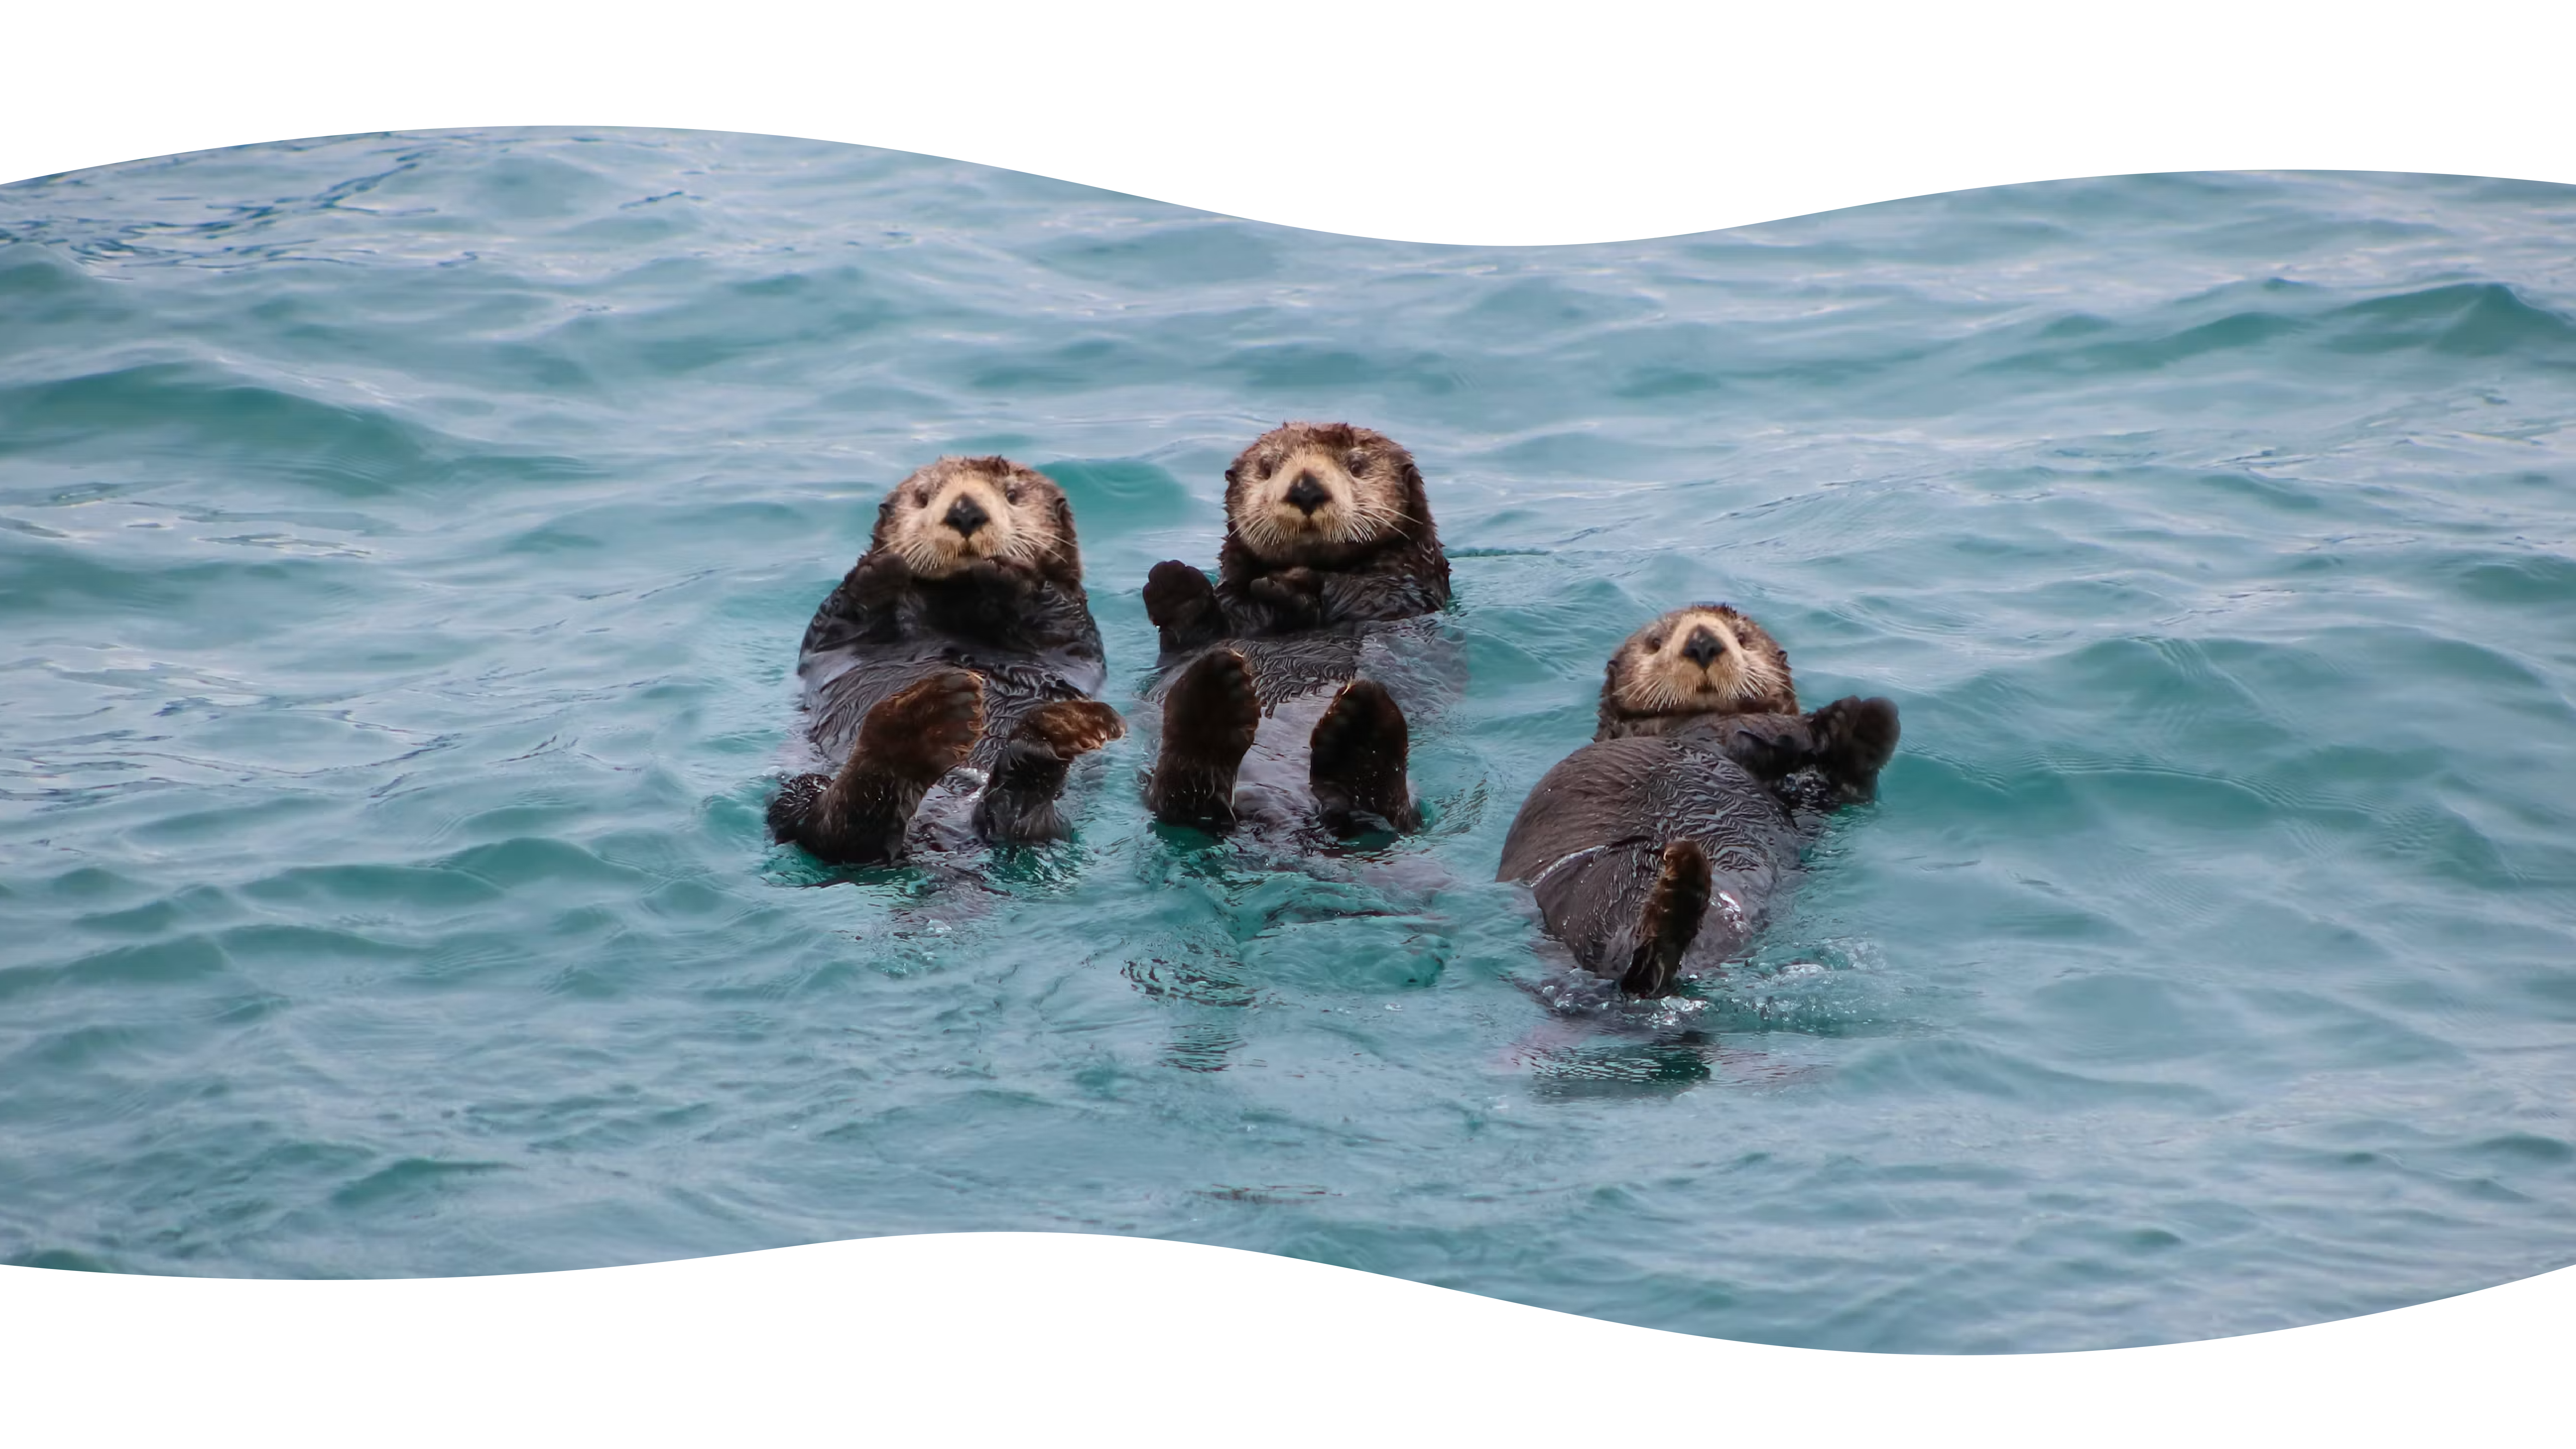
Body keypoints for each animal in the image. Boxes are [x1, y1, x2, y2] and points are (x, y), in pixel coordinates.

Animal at [769, 456, 1124, 865]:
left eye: (1012, 494)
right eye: (923, 497)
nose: (965, 511)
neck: (958, 606)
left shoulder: (1075, 630)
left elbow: (1056, 614)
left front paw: (1006, 572)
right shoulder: (831, 633)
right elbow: (839, 618)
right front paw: (884, 567)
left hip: (1054, 825)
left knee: (1020, 826)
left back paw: (1044, 741)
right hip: (799, 789)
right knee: (831, 830)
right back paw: (924, 723)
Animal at [1136, 422, 1455, 837]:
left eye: (1356, 465)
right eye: (1267, 468)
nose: (1305, 489)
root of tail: (1279, 812)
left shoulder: (1402, 591)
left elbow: (1358, 592)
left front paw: (1290, 585)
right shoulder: (1225, 620)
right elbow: (1195, 630)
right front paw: (1173, 583)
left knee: (1390, 816)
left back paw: (1361, 730)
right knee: (1181, 801)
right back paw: (1213, 698)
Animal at [1497, 604, 1900, 997]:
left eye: (1742, 637)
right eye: (1655, 642)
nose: (1703, 642)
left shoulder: (1811, 800)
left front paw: (1861, 724)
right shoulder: (1712, 731)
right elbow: (1755, 731)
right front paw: (1835, 720)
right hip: (1597, 886)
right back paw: (1678, 891)